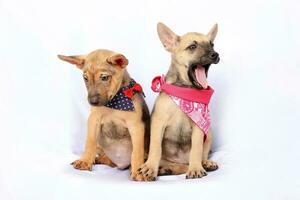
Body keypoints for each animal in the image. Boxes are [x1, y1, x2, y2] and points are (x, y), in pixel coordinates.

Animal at [57, 49, 150, 180]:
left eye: (104, 77)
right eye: (85, 78)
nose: (92, 102)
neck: (114, 102)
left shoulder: (136, 126)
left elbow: (137, 151)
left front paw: (138, 171)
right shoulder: (93, 120)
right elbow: (90, 141)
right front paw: (85, 161)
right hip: (101, 147)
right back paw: (97, 159)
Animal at [138, 22, 220, 180]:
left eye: (212, 45)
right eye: (192, 47)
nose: (215, 54)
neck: (184, 90)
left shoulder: (198, 128)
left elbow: (196, 149)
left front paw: (196, 168)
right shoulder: (158, 124)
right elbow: (156, 148)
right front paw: (150, 167)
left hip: (209, 132)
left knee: (200, 156)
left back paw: (204, 163)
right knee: (172, 164)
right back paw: (164, 169)